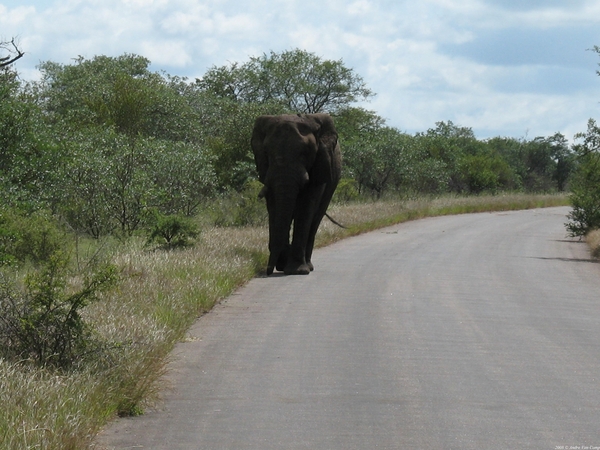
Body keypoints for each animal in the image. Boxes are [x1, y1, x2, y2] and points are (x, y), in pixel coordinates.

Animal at [250, 113, 342, 274]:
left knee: (315, 218)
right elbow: (274, 207)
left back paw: (307, 266)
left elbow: (306, 207)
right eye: (267, 152)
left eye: (304, 153)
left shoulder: (319, 164)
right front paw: (282, 263)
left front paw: (296, 270)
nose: (268, 271)